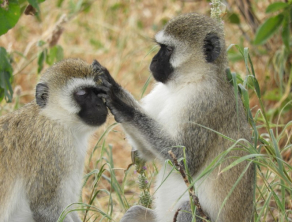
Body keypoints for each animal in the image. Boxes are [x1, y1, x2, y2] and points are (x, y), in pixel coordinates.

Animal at [0, 58, 108, 222]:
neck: (55, 119)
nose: (100, 104)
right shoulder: (52, 148)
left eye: (99, 91)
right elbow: (45, 210)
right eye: (82, 93)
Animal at [94, 12, 254, 222]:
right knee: (135, 211)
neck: (188, 81)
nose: (153, 61)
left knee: (187, 209)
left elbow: (186, 160)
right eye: (161, 47)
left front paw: (120, 102)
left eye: (168, 50)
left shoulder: (204, 102)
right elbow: (147, 153)